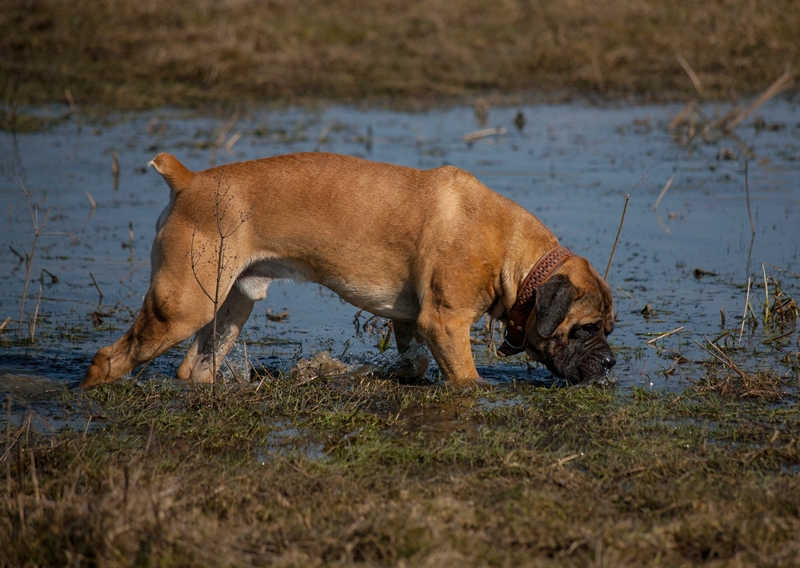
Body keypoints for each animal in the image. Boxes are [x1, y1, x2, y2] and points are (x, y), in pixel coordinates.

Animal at [81, 153, 616, 388]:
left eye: (609, 330)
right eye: (585, 330)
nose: (611, 362)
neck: (515, 254)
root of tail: (189, 181)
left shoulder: (412, 322)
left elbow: (414, 360)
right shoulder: (445, 324)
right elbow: (466, 379)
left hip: (227, 308)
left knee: (195, 367)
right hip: (181, 308)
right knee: (109, 358)